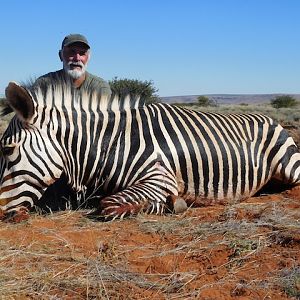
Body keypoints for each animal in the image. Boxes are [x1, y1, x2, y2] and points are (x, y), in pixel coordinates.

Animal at [0, 74, 300, 221]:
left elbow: (110, 205)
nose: (2, 213)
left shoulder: (160, 177)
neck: (113, 142)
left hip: (289, 167)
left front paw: (174, 204)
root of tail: (270, 118)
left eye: (6, 150)